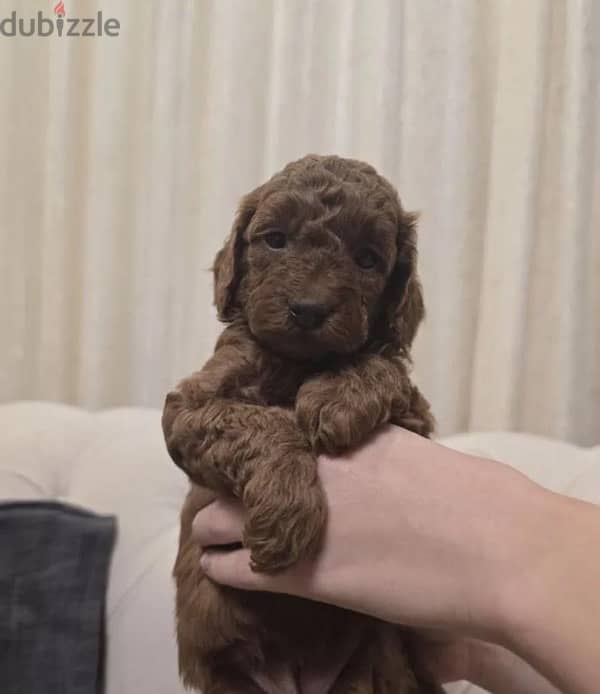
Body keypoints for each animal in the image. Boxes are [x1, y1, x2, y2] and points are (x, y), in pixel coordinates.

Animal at [163, 155, 440, 692]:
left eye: (368, 258)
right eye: (275, 239)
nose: (309, 310)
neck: (298, 363)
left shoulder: (418, 419)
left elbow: (383, 364)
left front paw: (337, 397)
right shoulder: (190, 406)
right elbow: (263, 425)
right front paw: (287, 512)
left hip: (376, 665)